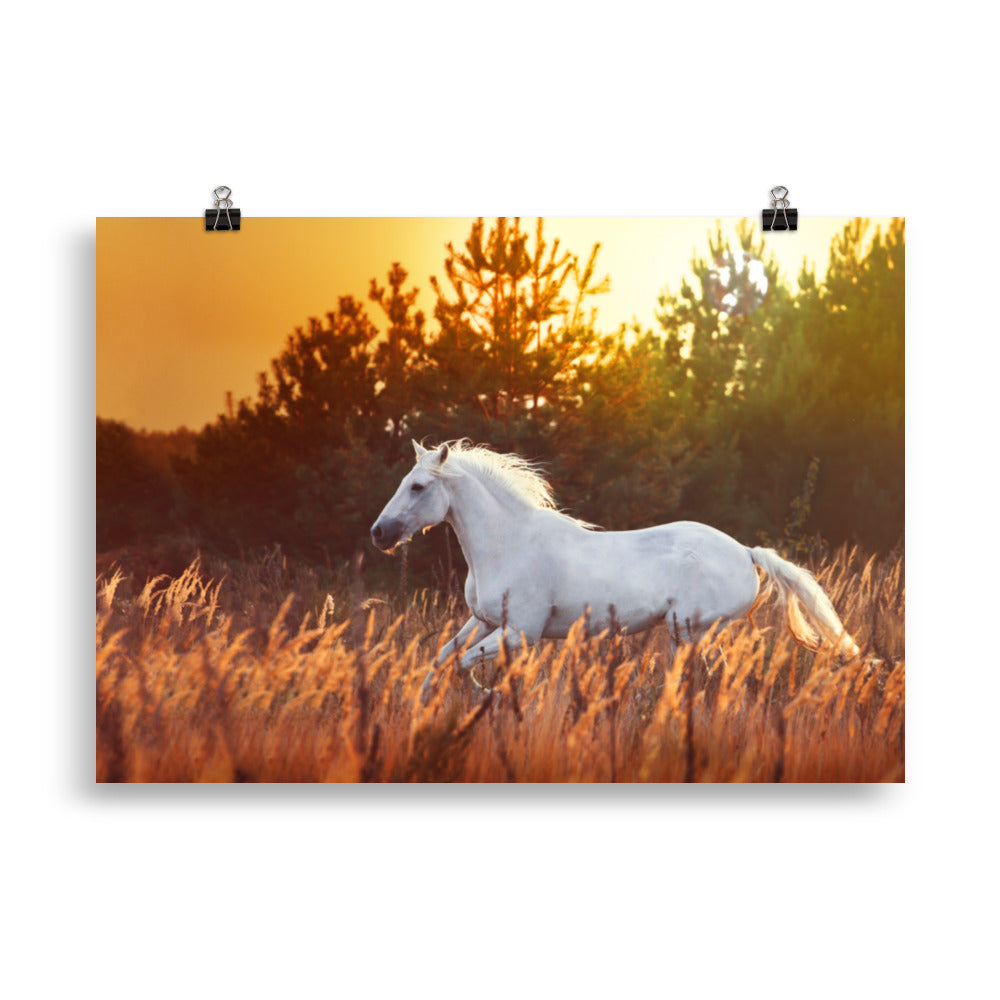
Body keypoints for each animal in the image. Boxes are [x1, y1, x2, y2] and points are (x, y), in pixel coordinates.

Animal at [370, 440, 859, 685]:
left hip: (690, 630)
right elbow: (441, 659)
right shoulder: (484, 620)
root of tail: (745, 552)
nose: (379, 533)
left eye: (417, 487)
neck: (508, 544)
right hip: (687, 635)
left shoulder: (521, 632)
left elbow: (463, 664)